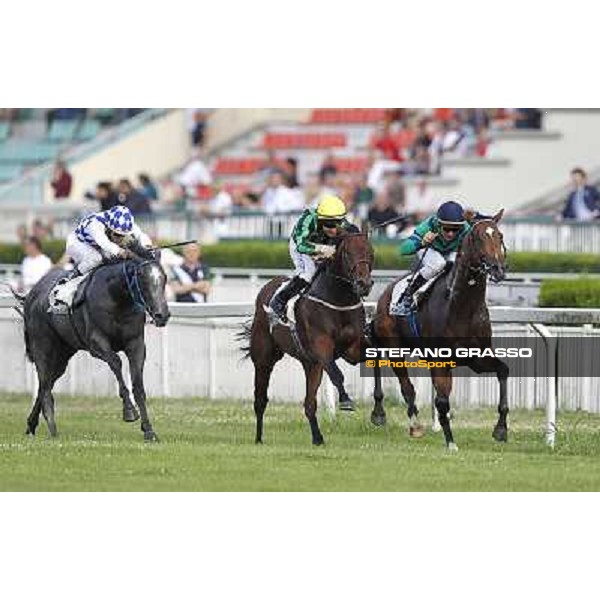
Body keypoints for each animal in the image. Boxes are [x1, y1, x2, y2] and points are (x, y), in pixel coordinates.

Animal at [238, 233, 370, 446]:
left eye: (370, 251)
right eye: (347, 253)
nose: (363, 284)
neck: (338, 300)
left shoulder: (353, 349)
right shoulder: (322, 347)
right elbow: (337, 373)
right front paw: (345, 400)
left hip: (310, 364)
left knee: (309, 404)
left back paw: (317, 438)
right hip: (264, 358)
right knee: (260, 399)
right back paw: (258, 438)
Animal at [372, 211, 508, 450]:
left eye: (499, 236)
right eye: (478, 238)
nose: (497, 270)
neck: (463, 307)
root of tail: (385, 293)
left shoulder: (478, 358)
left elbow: (503, 371)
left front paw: (501, 429)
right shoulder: (441, 360)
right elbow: (442, 401)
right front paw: (451, 442)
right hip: (394, 347)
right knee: (407, 387)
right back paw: (410, 424)